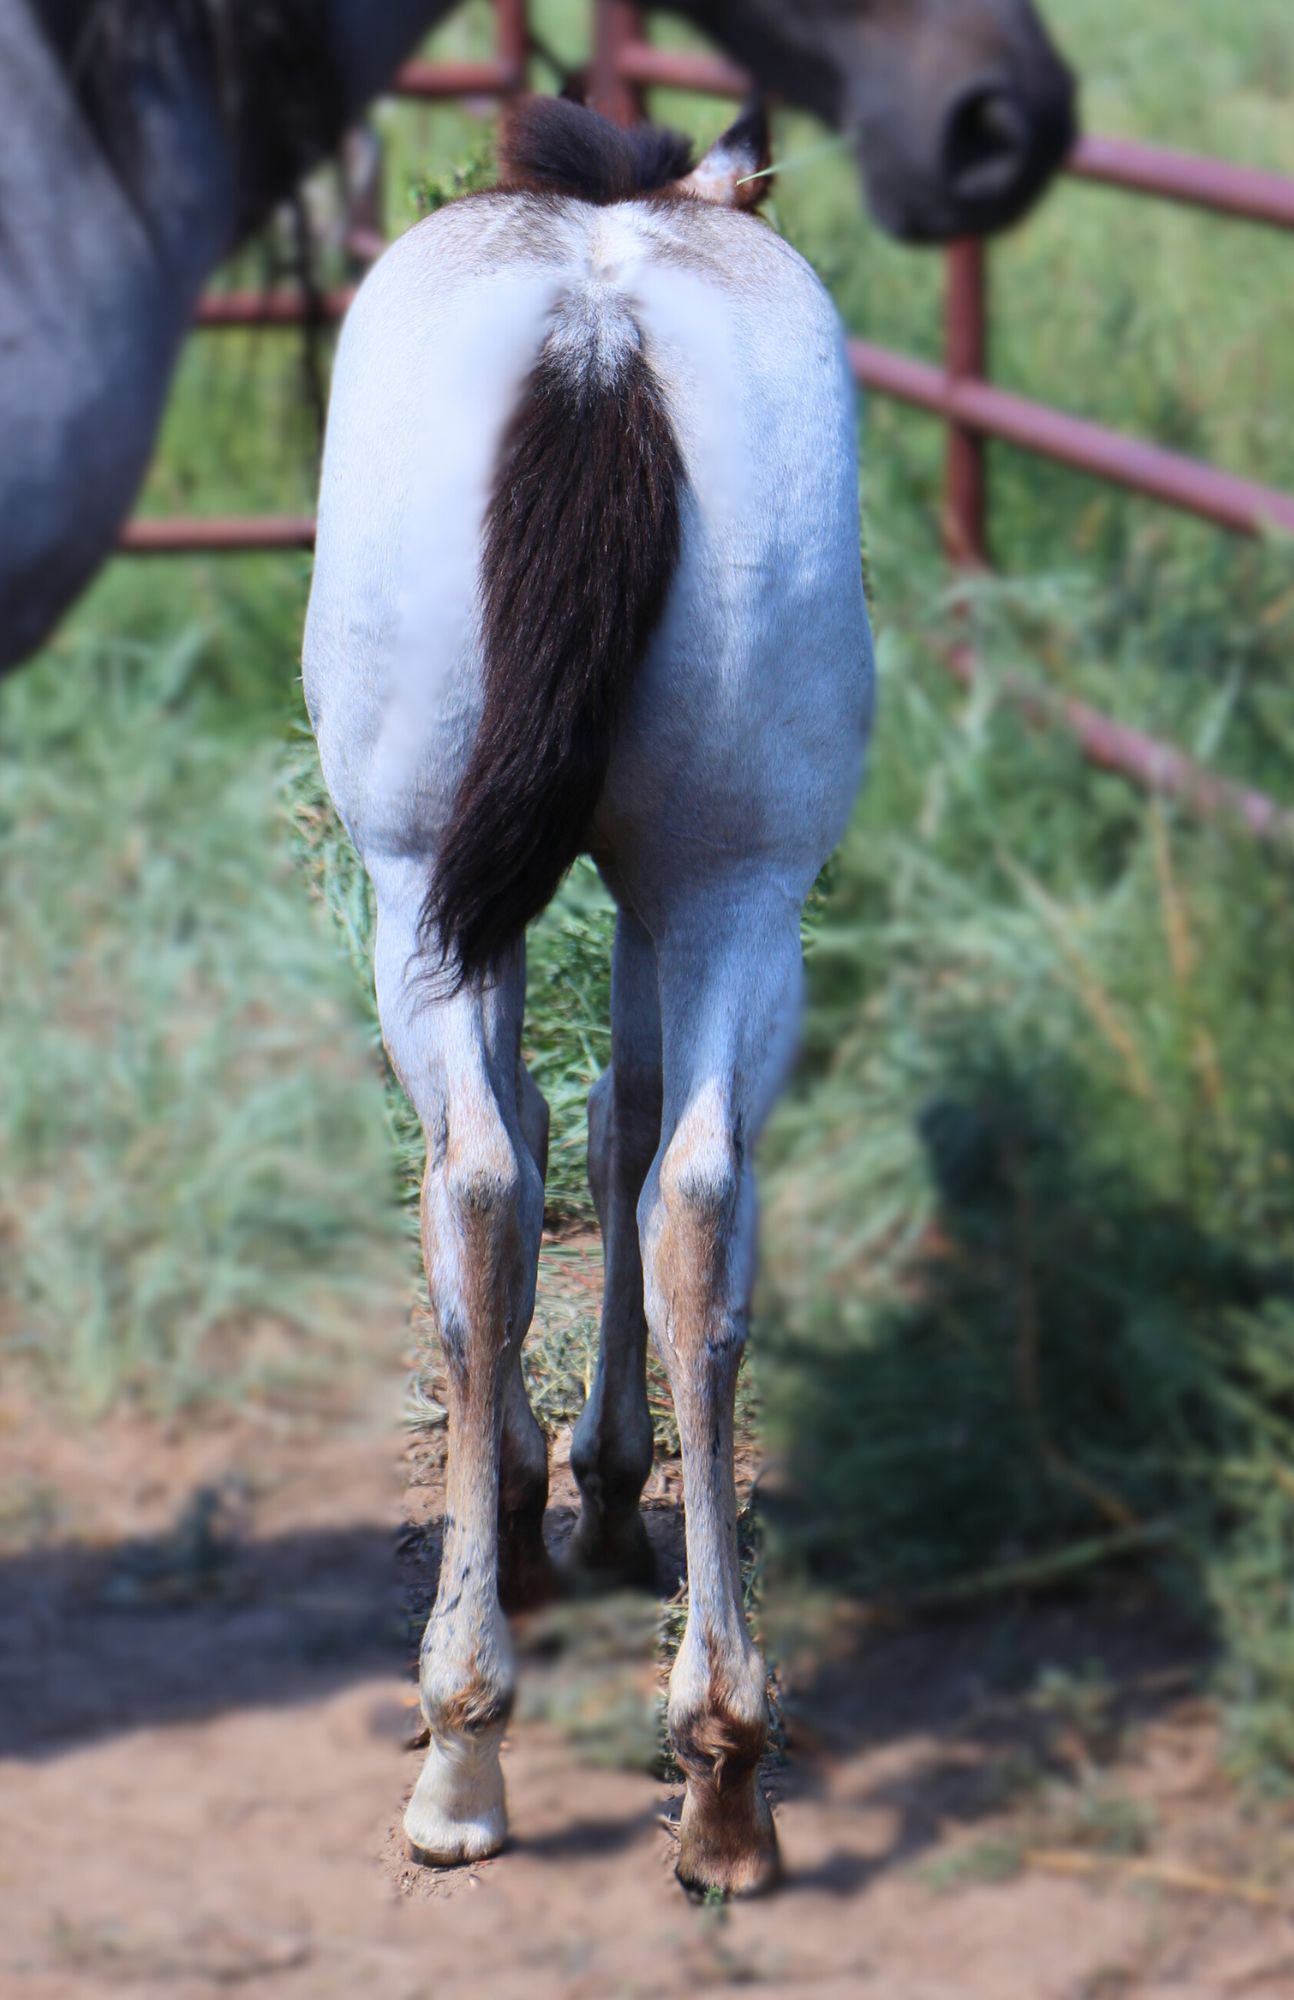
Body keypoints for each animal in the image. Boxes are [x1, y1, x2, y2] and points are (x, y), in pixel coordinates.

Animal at [303, 92, 874, 1895]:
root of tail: (598, 331)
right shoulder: (636, 895)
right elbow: (627, 1132)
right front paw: (603, 1491)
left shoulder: (476, 899)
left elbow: (553, 1136)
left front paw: (551, 1490)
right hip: (731, 888)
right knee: (693, 1198)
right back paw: (721, 1779)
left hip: (419, 887)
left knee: (483, 1185)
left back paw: (464, 1754)